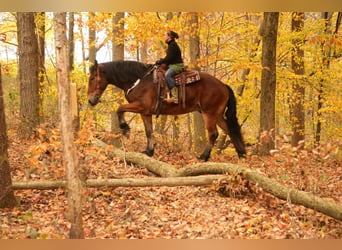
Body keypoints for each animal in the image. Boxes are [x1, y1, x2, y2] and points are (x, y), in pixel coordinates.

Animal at [87, 61, 244, 161]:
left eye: (93, 78)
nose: (90, 100)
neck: (139, 81)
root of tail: (223, 85)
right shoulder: (145, 112)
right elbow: (149, 131)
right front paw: (149, 151)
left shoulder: (141, 106)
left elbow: (120, 109)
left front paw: (125, 128)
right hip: (218, 115)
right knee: (230, 130)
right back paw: (241, 154)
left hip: (209, 114)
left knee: (213, 134)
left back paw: (204, 156)